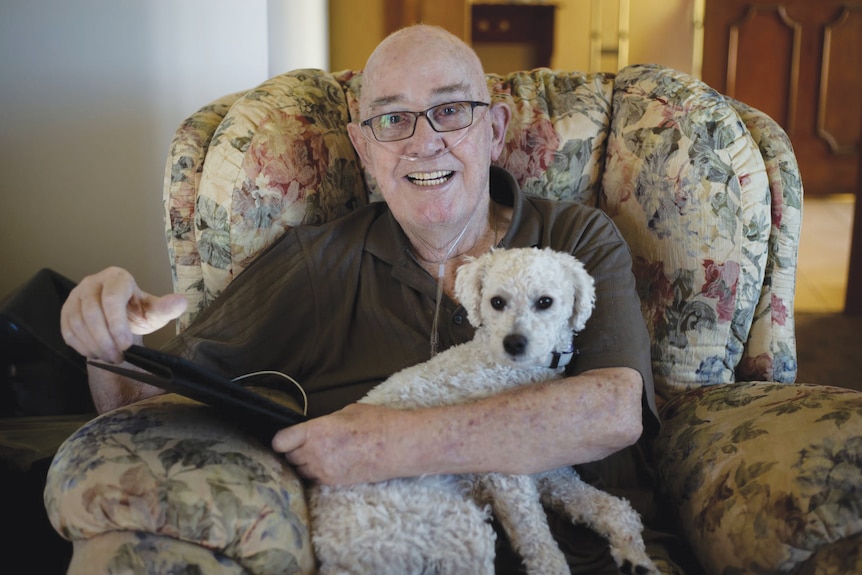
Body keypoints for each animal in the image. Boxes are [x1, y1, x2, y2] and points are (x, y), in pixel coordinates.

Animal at [308, 248, 656, 575]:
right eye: (497, 302)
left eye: (545, 301)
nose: (514, 343)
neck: (511, 371)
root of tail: (330, 549)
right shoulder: (508, 475)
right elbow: (538, 541)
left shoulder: (551, 473)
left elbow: (615, 509)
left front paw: (635, 556)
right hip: (456, 526)